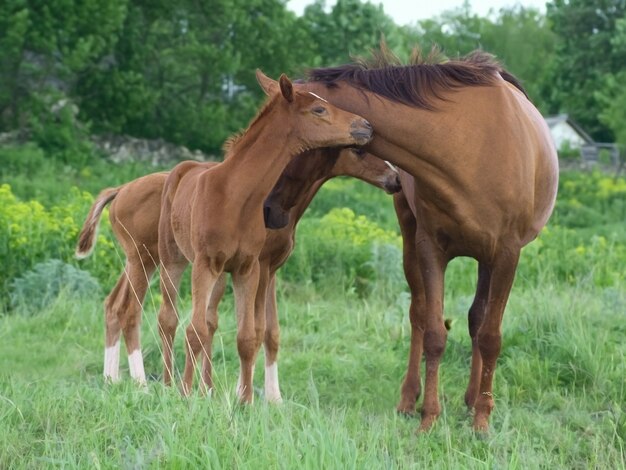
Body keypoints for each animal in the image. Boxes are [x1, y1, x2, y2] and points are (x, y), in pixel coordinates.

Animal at [278, 48, 556, 434]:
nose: (269, 208)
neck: (466, 149)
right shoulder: (430, 249)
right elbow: (435, 333)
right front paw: (428, 418)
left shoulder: (506, 254)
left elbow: (490, 336)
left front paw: (482, 421)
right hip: (412, 241)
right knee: (419, 315)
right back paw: (410, 399)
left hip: (487, 260)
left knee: (477, 320)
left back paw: (473, 399)